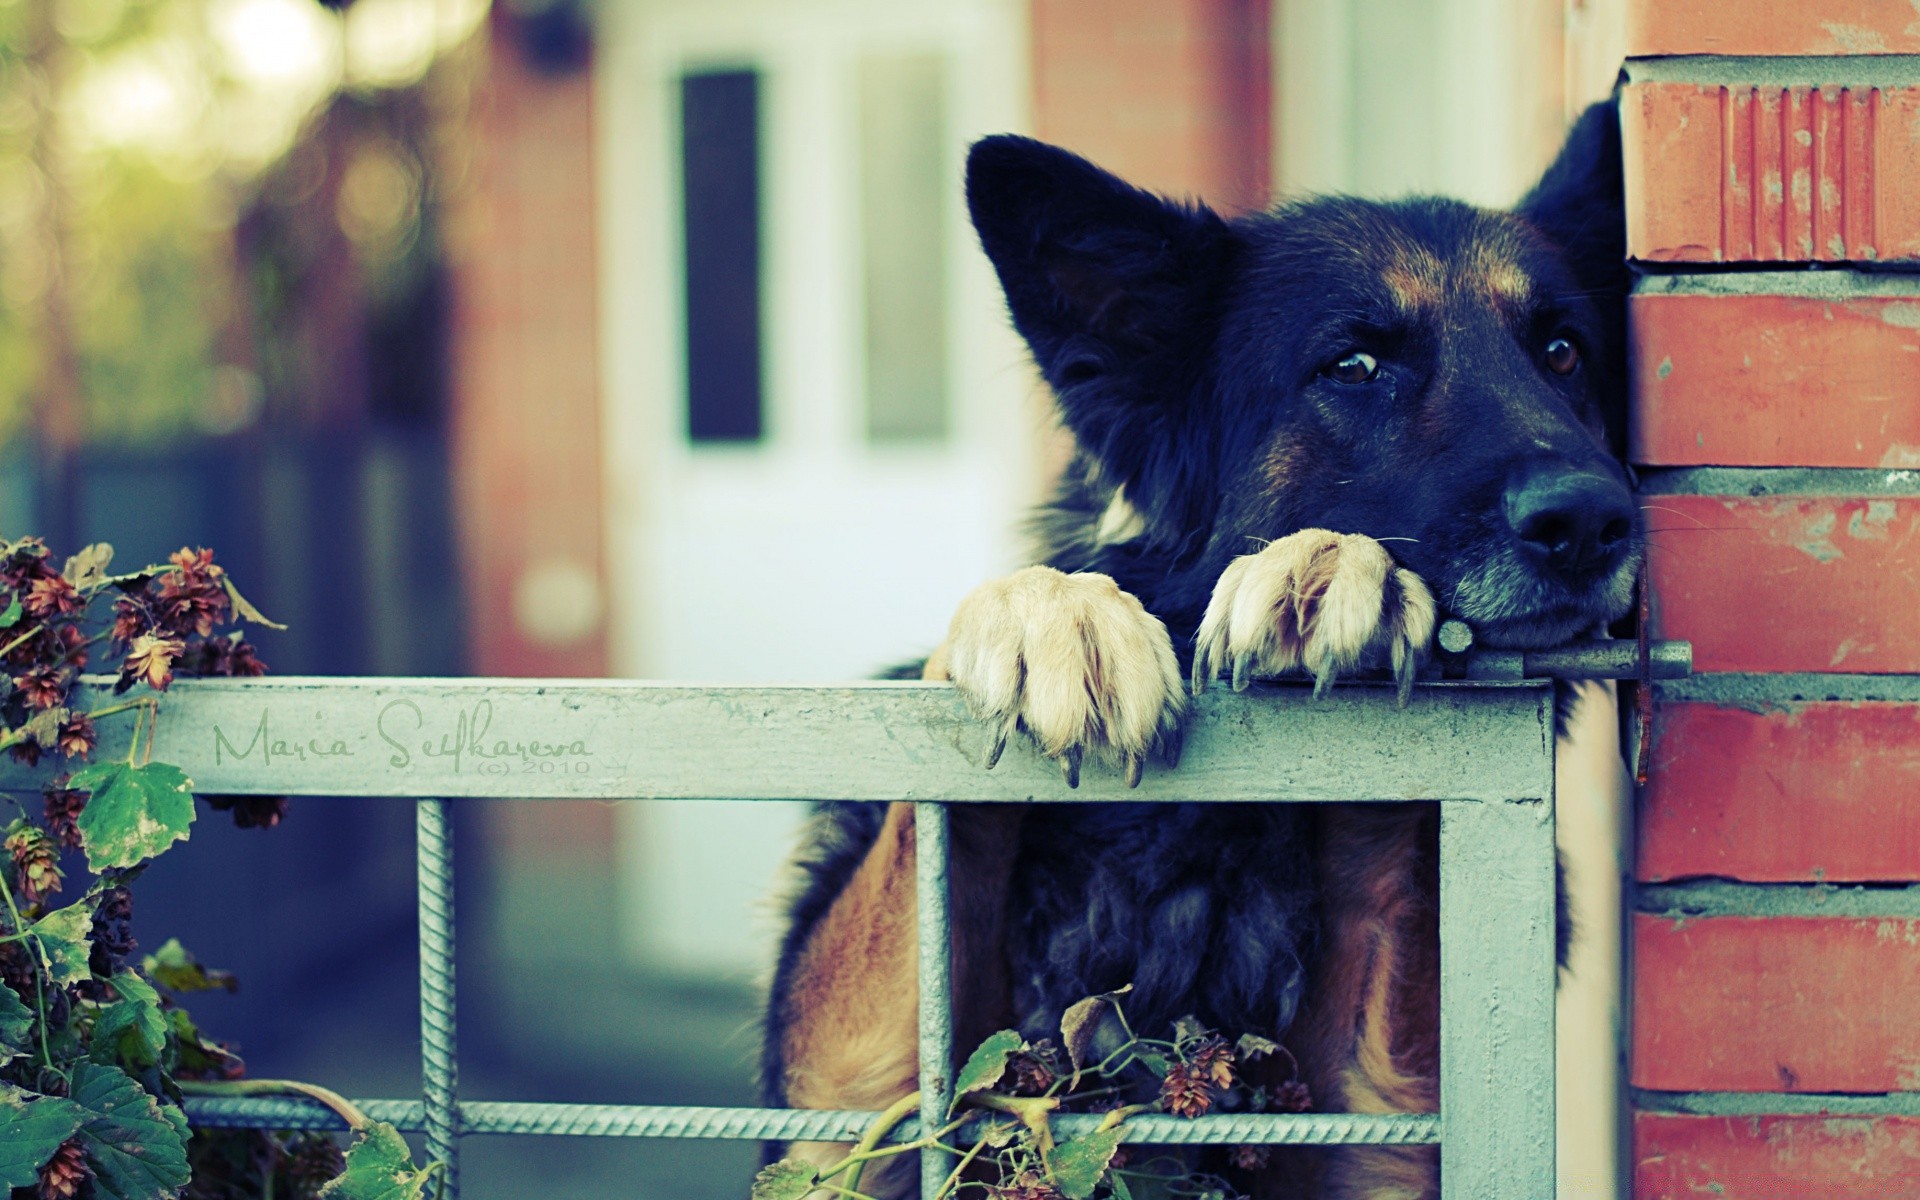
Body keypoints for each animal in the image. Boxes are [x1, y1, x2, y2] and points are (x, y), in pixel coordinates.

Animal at [760, 96, 1635, 1198]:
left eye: (1563, 351)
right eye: (1353, 367)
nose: (1594, 521)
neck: (1197, 843)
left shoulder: (1389, 1129)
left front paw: (1336, 574)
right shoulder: (843, 1120)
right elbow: (934, 848)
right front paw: (1050, 614)